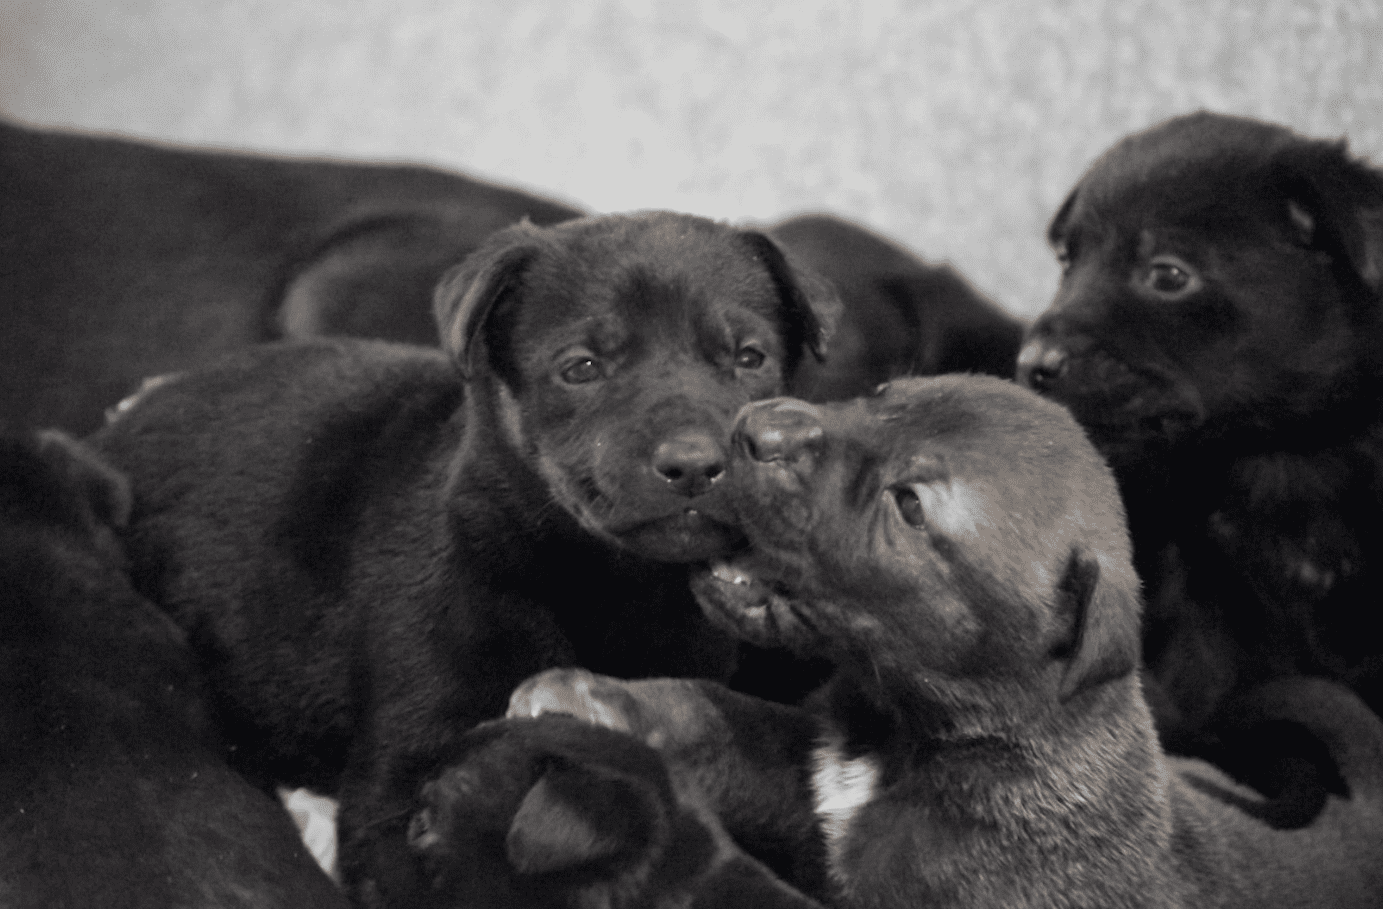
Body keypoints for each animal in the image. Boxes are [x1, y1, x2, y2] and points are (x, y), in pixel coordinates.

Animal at [508, 376, 1383, 907]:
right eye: (881, 393)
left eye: (907, 504)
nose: (758, 422)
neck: (908, 735)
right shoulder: (799, 772)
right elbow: (716, 718)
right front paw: (594, 698)